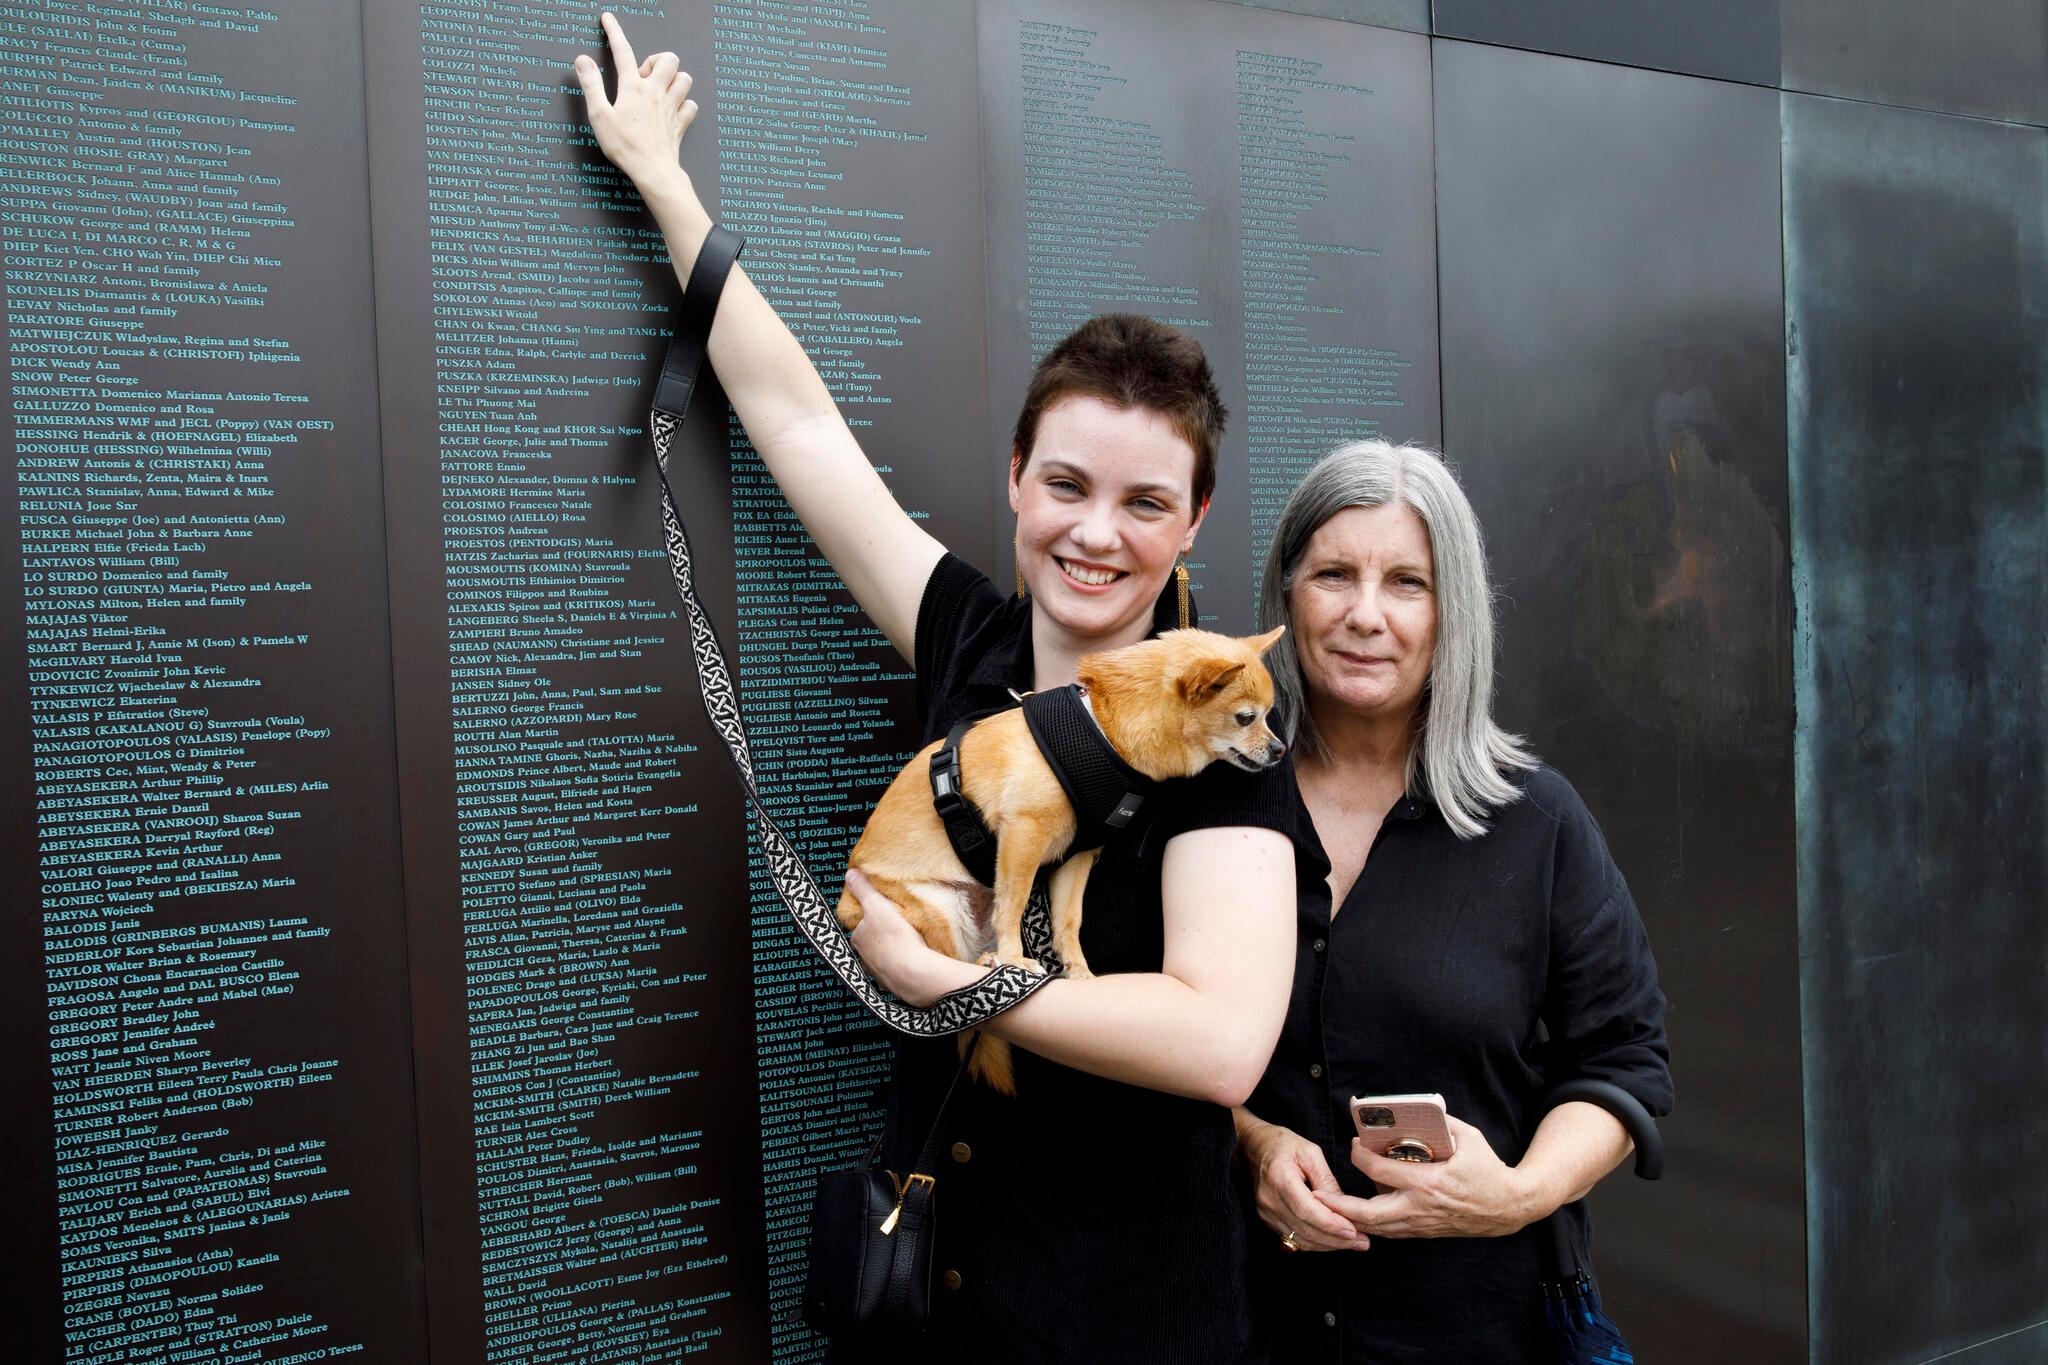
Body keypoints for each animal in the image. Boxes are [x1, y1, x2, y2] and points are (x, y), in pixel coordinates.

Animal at [831, 626, 1277, 1088]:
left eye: (1269, 716)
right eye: (1246, 717)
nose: (1280, 749)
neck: (1103, 732)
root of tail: (846, 903)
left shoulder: (1077, 856)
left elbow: (1067, 920)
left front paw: (1079, 973)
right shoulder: (1023, 834)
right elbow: (1013, 905)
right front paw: (1013, 959)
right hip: (940, 908)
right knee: (947, 971)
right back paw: (990, 964)